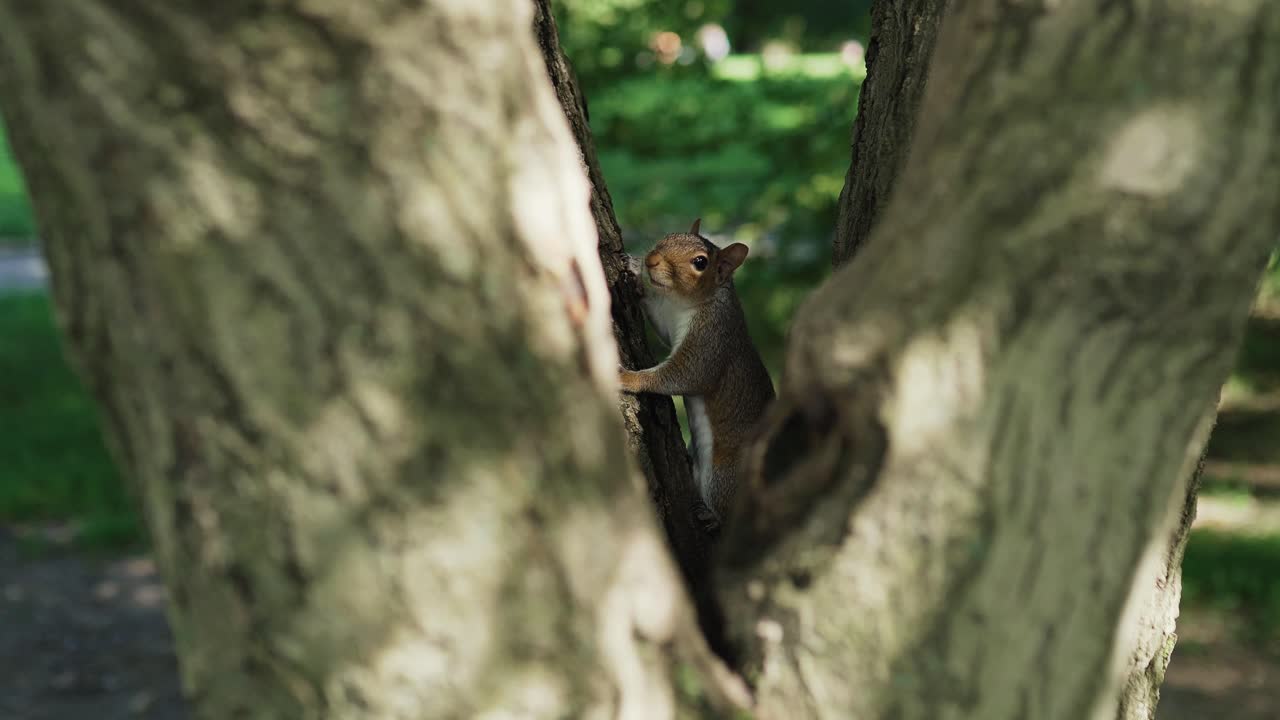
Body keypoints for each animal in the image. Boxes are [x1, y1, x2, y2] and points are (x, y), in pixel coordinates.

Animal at [620, 219, 775, 535]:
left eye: (700, 262)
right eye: (669, 235)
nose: (651, 260)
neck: (687, 302)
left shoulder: (711, 339)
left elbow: (686, 374)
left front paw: (629, 378)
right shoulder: (670, 319)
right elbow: (661, 324)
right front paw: (634, 275)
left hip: (724, 476)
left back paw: (713, 518)